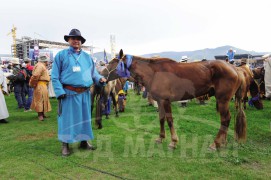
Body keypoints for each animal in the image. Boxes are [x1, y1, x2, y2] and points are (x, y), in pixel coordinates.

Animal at [102, 49, 249, 150]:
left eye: (113, 62)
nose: (101, 75)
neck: (154, 73)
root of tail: (235, 68)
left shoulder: (166, 101)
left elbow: (169, 120)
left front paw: (173, 142)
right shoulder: (160, 101)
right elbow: (161, 119)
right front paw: (160, 138)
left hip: (223, 100)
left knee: (225, 119)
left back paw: (216, 143)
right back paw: (222, 142)